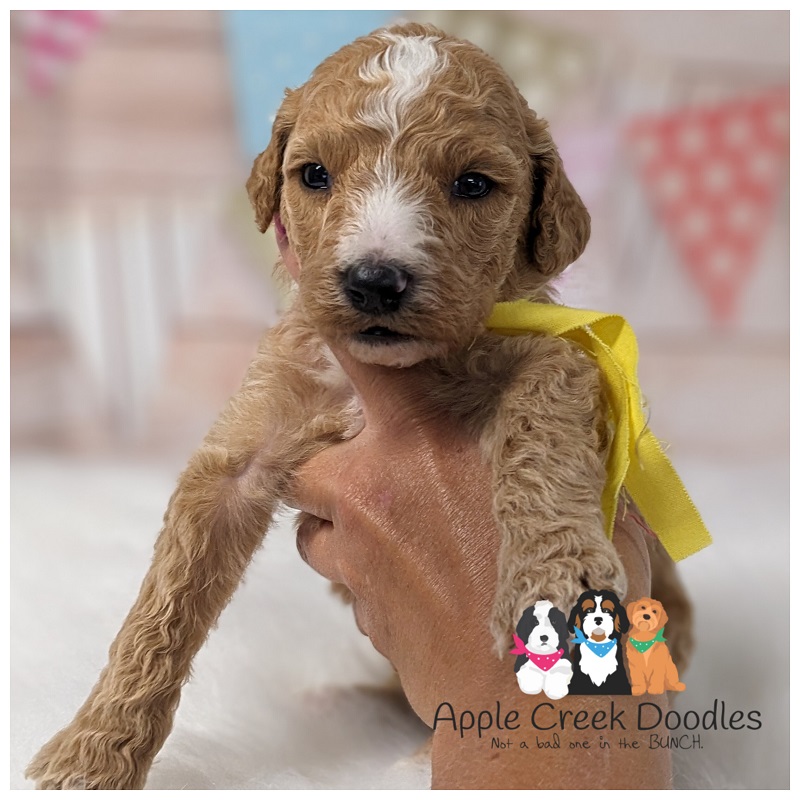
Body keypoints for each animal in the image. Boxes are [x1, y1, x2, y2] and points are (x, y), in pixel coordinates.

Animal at [26, 23, 693, 788]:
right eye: (315, 175)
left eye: (473, 184)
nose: (375, 281)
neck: (373, 379)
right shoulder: (249, 439)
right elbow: (161, 608)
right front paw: (93, 752)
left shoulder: (559, 350)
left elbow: (544, 413)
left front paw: (554, 576)